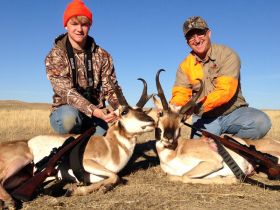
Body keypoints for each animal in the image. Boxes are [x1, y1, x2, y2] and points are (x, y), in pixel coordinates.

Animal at [0, 78, 154, 208]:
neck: (110, 145)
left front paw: (103, 188)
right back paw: (10, 202)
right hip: (22, 160)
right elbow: (115, 176)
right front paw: (74, 191)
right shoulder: (88, 162)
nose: (152, 121)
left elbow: (115, 178)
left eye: (141, 110)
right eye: (124, 112)